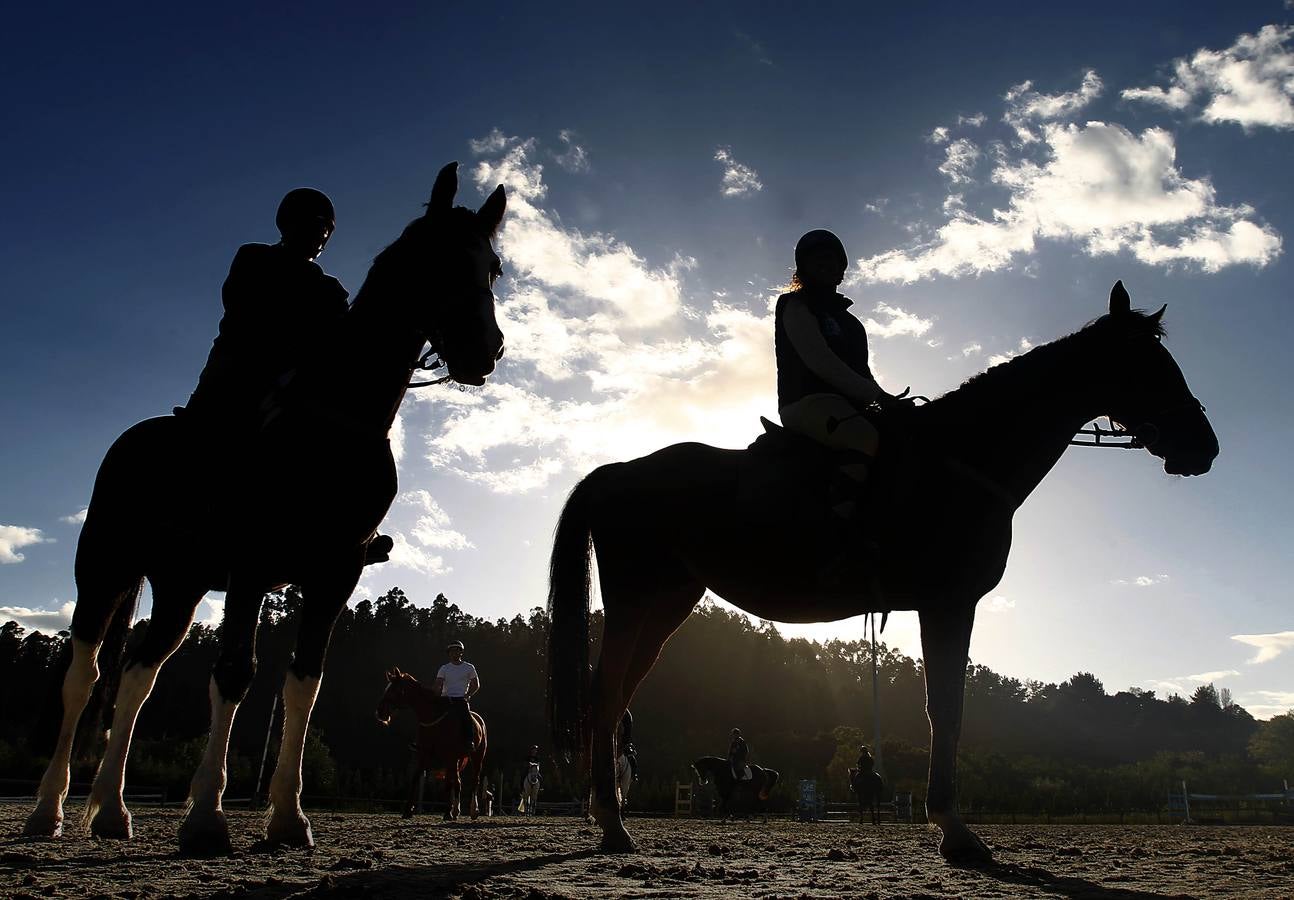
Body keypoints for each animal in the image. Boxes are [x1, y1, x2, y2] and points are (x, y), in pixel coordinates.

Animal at [380, 667, 491, 822]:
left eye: (394, 690)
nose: (380, 712)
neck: (433, 718)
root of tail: (479, 720)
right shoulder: (424, 754)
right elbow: (415, 778)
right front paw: (408, 810)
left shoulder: (449, 756)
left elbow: (448, 783)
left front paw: (447, 813)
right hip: (458, 760)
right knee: (458, 781)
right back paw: (456, 811)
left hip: (477, 757)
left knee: (475, 780)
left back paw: (473, 811)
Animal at [546, 284, 1211, 863]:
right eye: (1149, 364)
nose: (1205, 447)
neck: (960, 460)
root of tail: (616, 471)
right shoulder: (949, 602)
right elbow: (946, 709)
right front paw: (953, 830)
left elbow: (945, 709)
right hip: (637, 600)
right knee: (605, 695)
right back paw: (611, 823)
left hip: (666, 604)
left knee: (618, 696)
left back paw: (608, 816)